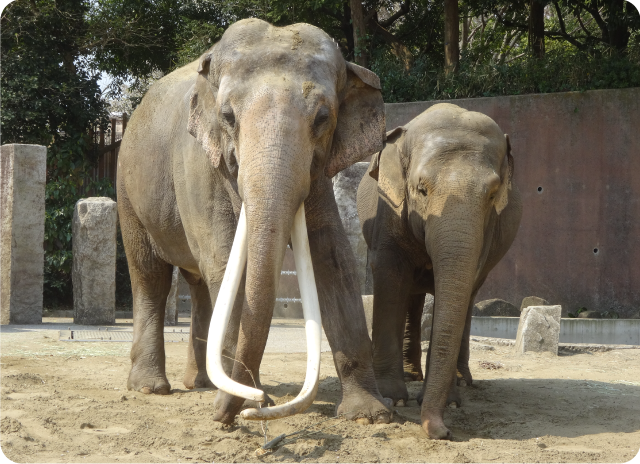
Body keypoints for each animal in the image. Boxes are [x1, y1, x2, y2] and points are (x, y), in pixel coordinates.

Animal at [117, 18, 392, 425]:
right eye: (228, 117)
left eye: (323, 119)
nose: (232, 416)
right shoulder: (196, 162)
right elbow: (227, 261)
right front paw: (242, 401)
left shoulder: (318, 172)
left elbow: (332, 257)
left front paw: (369, 415)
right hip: (128, 190)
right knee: (150, 274)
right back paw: (152, 388)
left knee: (198, 283)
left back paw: (201, 383)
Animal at [357, 103, 522, 439]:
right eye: (421, 189)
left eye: (492, 195)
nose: (443, 432)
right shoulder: (389, 211)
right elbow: (389, 276)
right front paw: (393, 397)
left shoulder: (487, 229)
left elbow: (462, 284)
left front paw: (451, 403)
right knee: (410, 295)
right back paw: (411, 377)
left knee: (467, 298)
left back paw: (460, 382)